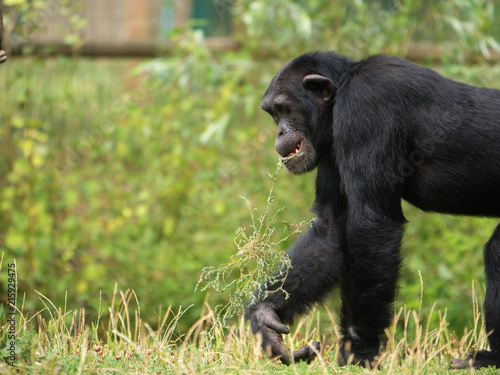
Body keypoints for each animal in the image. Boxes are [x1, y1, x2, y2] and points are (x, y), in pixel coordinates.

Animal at [248, 51, 500, 372]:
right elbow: (330, 230)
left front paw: (359, 353)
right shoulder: (331, 147)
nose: (280, 130)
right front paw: (266, 317)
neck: (342, 88)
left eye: (284, 108)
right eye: (273, 113)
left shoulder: (366, 106)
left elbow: (371, 223)